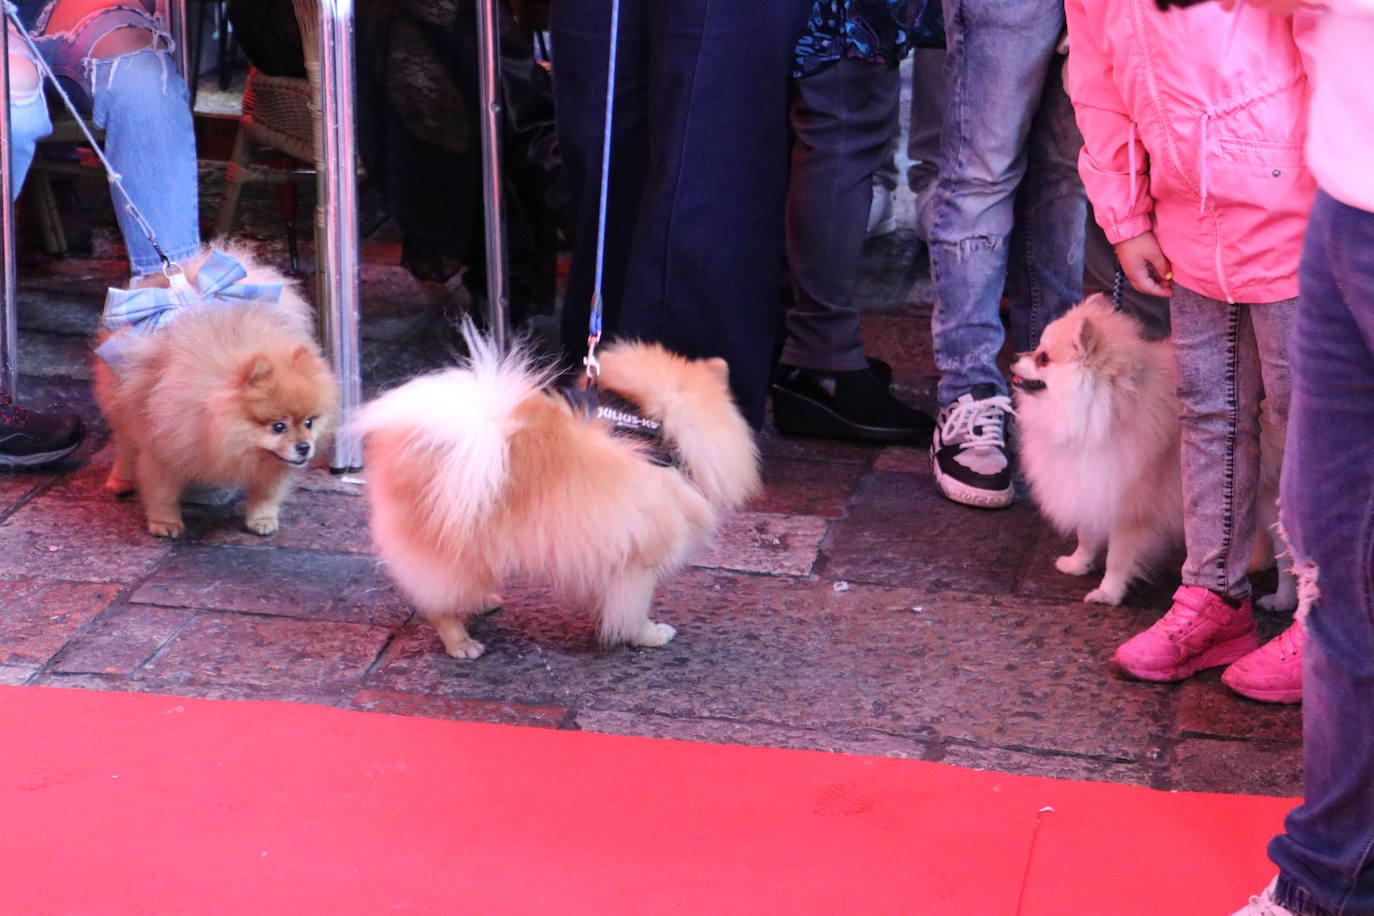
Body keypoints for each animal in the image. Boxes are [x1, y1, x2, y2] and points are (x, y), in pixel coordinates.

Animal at [93, 247, 338, 541]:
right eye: (278, 427)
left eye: (309, 423)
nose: (304, 447)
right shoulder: (163, 444)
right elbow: (161, 492)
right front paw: (165, 523)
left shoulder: (270, 463)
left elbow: (266, 494)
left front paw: (262, 519)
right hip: (121, 405)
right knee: (126, 446)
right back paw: (121, 480)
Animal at [354, 329, 763, 659]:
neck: (654, 429)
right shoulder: (640, 559)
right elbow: (634, 607)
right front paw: (647, 635)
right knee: (439, 602)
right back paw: (461, 643)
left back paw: (481, 603)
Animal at [1005, 295, 1291, 609]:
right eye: (1036, 349)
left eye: (1044, 357)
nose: (1014, 357)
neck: (1100, 408)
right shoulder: (1093, 483)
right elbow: (1087, 534)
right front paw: (1077, 563)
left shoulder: (1131, 502)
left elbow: (1118, 556)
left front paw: (1107, 593)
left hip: (1274, 497)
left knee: (1289, 558)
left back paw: (1282, 600)